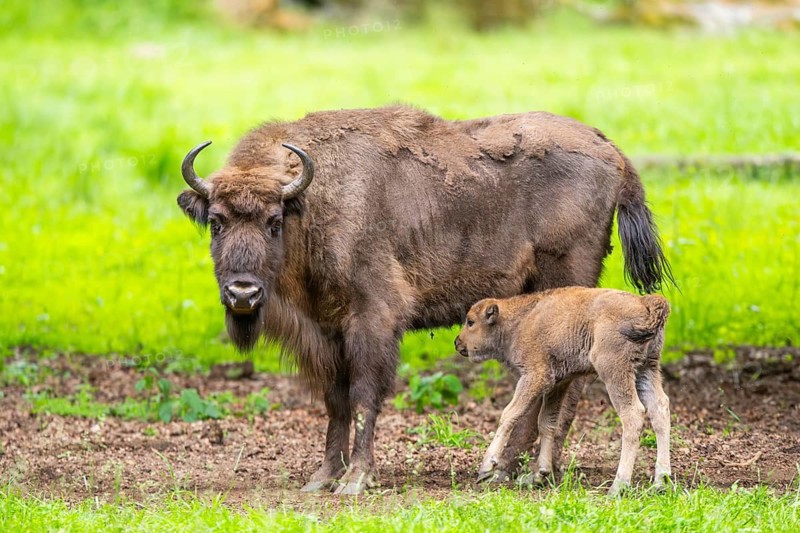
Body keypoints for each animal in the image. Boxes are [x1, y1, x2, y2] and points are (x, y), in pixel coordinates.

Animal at [177, 105, 673, 494]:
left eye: (274, 221)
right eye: (216, 222)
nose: (243, 292)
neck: (313, 203)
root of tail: (612, 153)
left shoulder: (373, 320)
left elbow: (364, 395)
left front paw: (356, 479)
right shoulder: (326, 330)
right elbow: (335, 402)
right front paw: (322, 478)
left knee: (562, 389)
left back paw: (519, 472)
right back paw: (520, 472)